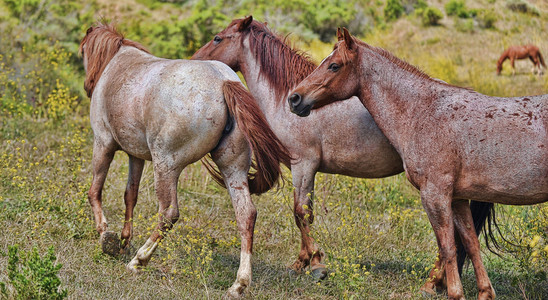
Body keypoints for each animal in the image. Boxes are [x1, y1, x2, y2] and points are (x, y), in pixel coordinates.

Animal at [79, 21, 292, 298]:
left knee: (168, 213)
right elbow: (130, 196)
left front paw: (106, 235)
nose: (87, 85)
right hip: (232, 169)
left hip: (166, 167)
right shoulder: (135, 156)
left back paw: (139, 260)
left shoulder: (103, 144)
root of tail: (223, 82)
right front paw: (124, 240)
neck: (118, 63)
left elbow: (95, 191)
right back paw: (240, 283)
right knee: (246, 214)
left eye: (82, 51)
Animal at [194, 15, 496, 284]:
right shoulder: (305, 169)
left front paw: (315, 264)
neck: (282, 99)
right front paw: (301, 263)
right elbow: (304, 212)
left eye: (218, 38)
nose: (196, 60)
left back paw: (436, 280)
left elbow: (300, 212)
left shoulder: (303, 164)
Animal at [286, 27, 548, 298]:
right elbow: (470, 243)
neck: (424, 112)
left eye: (334, 65)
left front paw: (454, 292)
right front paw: (484, 291)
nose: (294, 98)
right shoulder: (458, 199)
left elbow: (448, 247)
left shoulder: (435, 196)